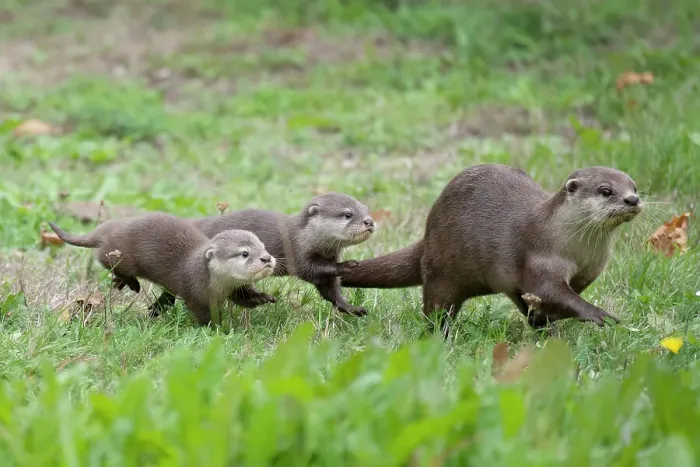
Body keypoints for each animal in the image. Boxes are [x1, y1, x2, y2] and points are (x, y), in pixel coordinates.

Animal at [49, 213, 276, 326]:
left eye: (263, 246)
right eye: (244, 253)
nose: (267, 259)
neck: (215, 284)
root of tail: (109, 229)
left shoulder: (235, 288)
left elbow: (245, 299)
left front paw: (264, 297)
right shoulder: (195, 295)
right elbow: (203, 314)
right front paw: (216, 328)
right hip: (120, 254)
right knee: (106, 261)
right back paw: (131, 284)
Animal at [149, 193, 376, 317]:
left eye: (366, 209)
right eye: (348, 214)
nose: (370, 221)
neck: (306, 237)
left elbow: (330, 290)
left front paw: (351, 308)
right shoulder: (297, 252)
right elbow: (311, 270)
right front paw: (347, 265)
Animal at [339, 164, 643, 335]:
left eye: (634, 186)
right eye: (606, 190)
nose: (632, 199)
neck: (576, 251)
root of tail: (427, 236)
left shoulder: (590, 270)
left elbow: (557, 298)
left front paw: (545, 319)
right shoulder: (540, 258)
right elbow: (551, 290)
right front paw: (597, 314)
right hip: (442, 271)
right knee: (436, 308)